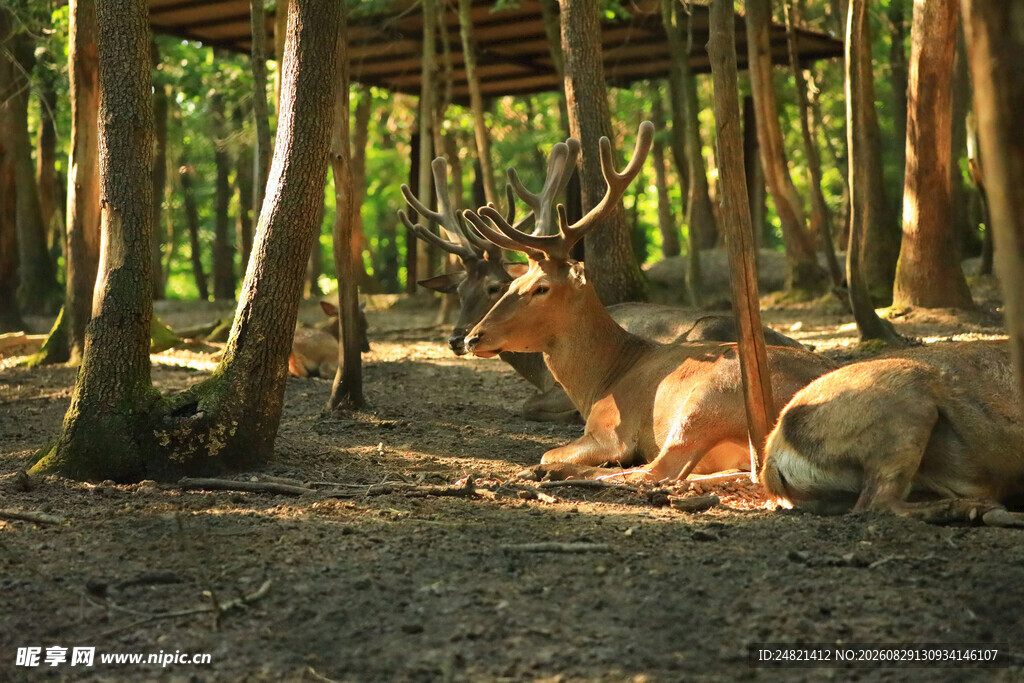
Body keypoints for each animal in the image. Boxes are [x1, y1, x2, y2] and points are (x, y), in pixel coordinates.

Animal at [462, 121, 836, 479]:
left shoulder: (611, 428)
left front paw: (548, 463)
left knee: (657, 471)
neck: (602, 381)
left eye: (541, 287)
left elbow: (551, 450)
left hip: (709, 398)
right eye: (513, 283)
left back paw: (549, 472)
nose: (472, 338)